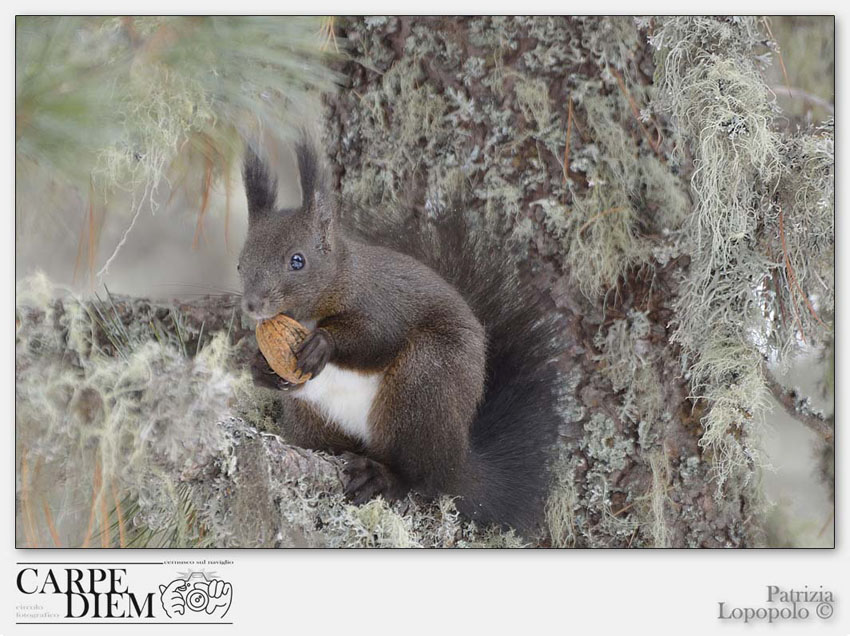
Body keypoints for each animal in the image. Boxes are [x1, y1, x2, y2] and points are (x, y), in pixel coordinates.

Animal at [235, 138, 560, 532]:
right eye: (240, 263)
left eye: (297, 261)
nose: (253, 305)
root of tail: (457, 460)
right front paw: (260, 367)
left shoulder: (383, 303)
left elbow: (378, 338)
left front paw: (323, 344)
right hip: (313, 416)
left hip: (425, 381)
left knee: (421, 475)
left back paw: (384, 477)